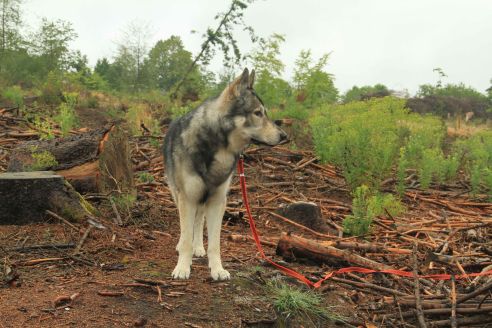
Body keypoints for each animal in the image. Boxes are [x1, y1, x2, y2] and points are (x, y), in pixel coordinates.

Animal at [163, 68, 286, 280]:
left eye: (265, 113)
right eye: (258, 113)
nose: (284, 136)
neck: (216, 148)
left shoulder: (217, 201)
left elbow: (215, 244)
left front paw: (217, 270)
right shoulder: (188, 198)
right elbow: (186, 236)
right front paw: (182, 268)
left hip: (203, 199)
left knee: (198, 222)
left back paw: (198, 248)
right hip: (179, 195)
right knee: (186, 227)